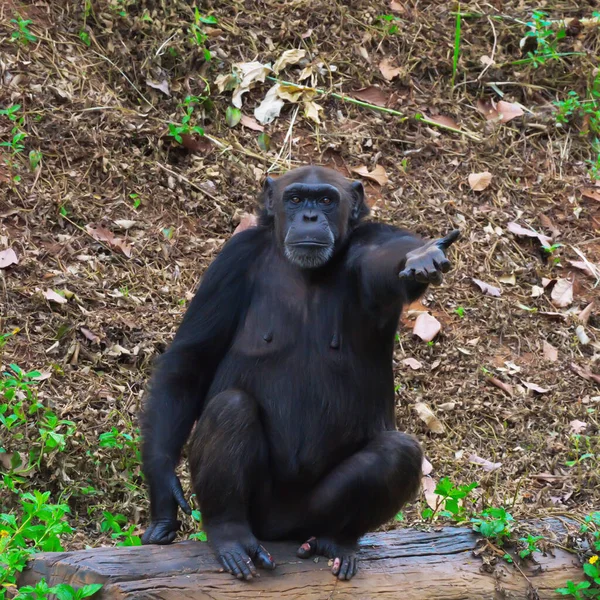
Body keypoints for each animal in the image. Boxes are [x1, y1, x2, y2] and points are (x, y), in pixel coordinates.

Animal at [141, 165, 460, 580]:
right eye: (294, 199)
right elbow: (190, 360)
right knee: (230, 408)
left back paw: (336, 540)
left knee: (399, 454)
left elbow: (389, 259)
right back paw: (230, 535)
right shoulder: (231, 261)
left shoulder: (373, 246)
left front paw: (423, 255)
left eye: (325, 199)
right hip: (259, 512)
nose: (309, 216)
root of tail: (278, 530)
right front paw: (163, 488)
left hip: (309, 515)